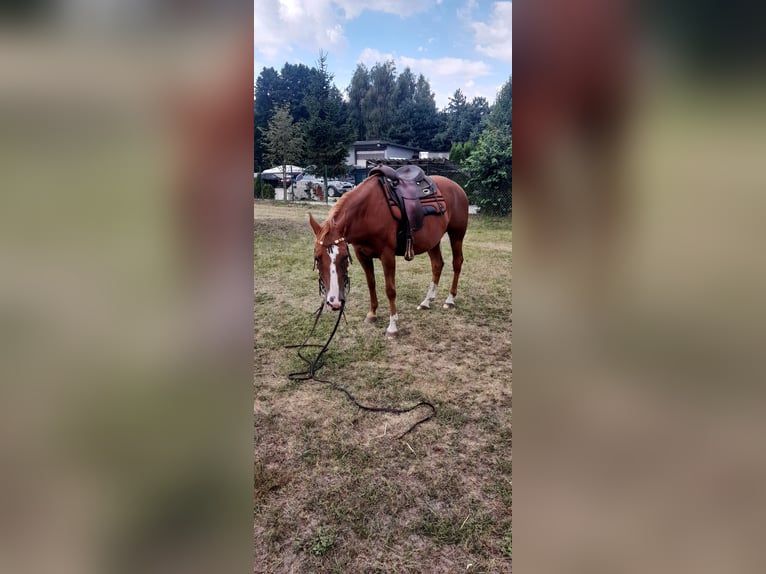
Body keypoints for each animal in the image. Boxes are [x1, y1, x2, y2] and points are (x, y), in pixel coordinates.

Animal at [308, 169, 469, 338]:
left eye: (345, 257)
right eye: (317, 258)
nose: (334, 302)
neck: (367, 212)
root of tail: (457, 187)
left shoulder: (387, 255)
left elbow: (390, 290)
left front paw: (392, 327)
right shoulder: (362, 254)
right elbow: (371, 283)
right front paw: (372, 314)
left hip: (457, 234)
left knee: (457, 263)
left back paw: (450, 300)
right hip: (432, 241)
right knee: (437, 265)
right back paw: (426, 302)